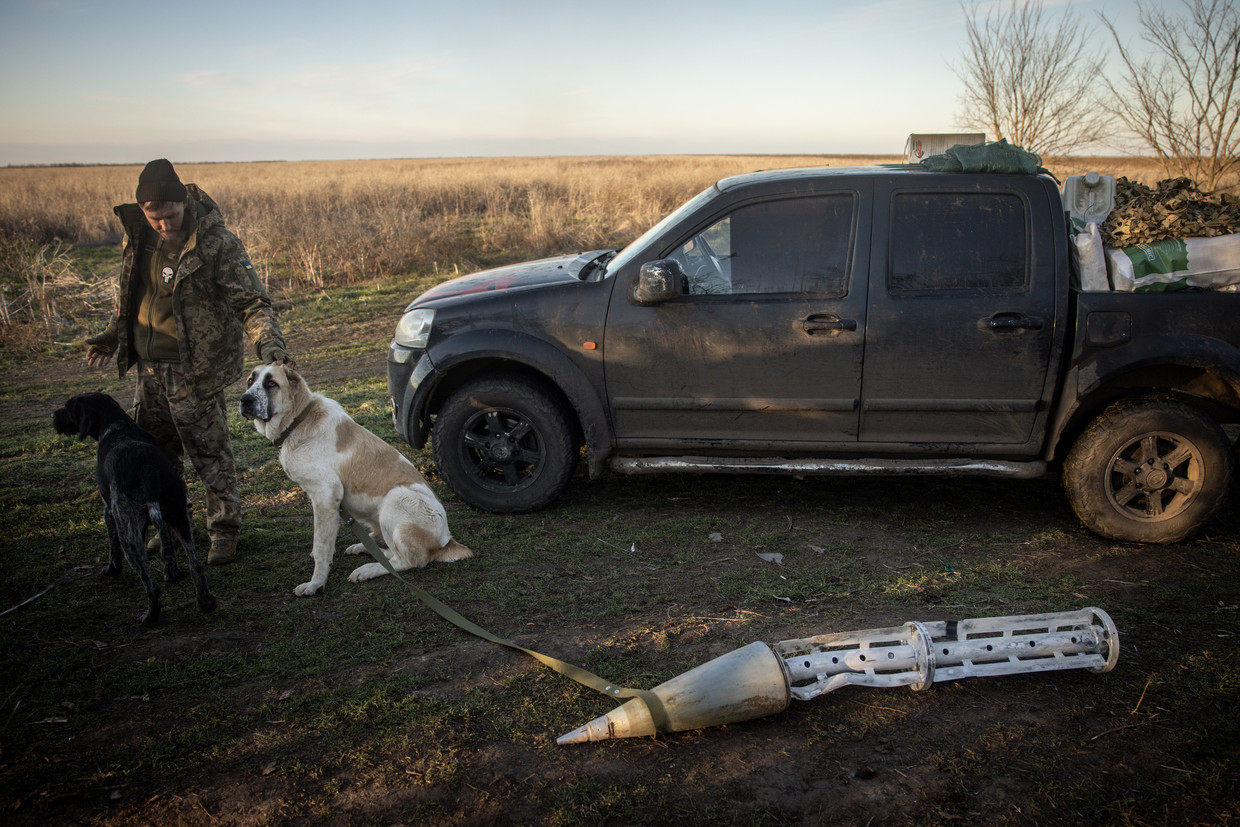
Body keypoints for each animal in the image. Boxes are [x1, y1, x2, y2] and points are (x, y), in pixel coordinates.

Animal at [52, 394, 217, 627]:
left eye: (68, 407)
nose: (53, 415)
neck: (116, 425)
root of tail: (148, 469)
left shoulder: (108, 510)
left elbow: (112, 546)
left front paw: (112, 569)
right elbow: (166, 543)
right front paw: (171, 571)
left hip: (129, 533)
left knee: (150, 584)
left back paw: (149, 616)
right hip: (179, 516)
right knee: (196, 565)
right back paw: (206, 603)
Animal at [239, 367, 471, 595]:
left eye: (271, 384)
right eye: (250, 380)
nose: (244, 400)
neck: (299, 421)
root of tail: (448, 540)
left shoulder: (325, 497)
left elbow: (321, 546)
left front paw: (316, 584)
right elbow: (322, 542)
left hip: (395, 499)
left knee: (405, 561)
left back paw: (367, 570)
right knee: (388, 550)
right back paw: (365, 548)